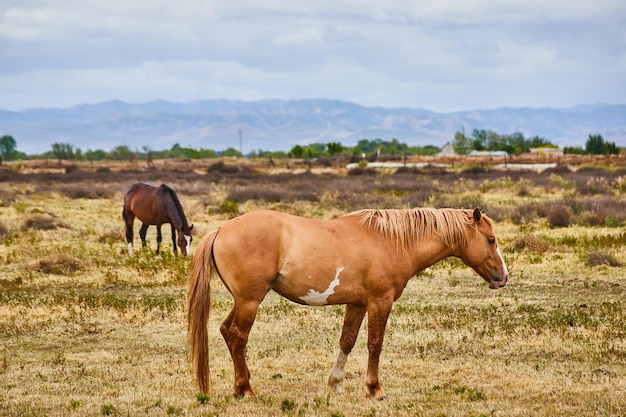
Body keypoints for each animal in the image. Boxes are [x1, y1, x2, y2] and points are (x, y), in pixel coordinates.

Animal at [186, 206, 508, 398]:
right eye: (491, 240)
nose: (503, 277)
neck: (391, 240)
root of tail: (221, 230)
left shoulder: (358, 304)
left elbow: (347, 342)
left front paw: (335, 384)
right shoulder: (380, 301)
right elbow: (374, 344)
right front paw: (374, 389)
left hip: (242, 300)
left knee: (226, 332)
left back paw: (240, 387)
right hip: (250, 301)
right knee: (238, 336)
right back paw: (246, 390)